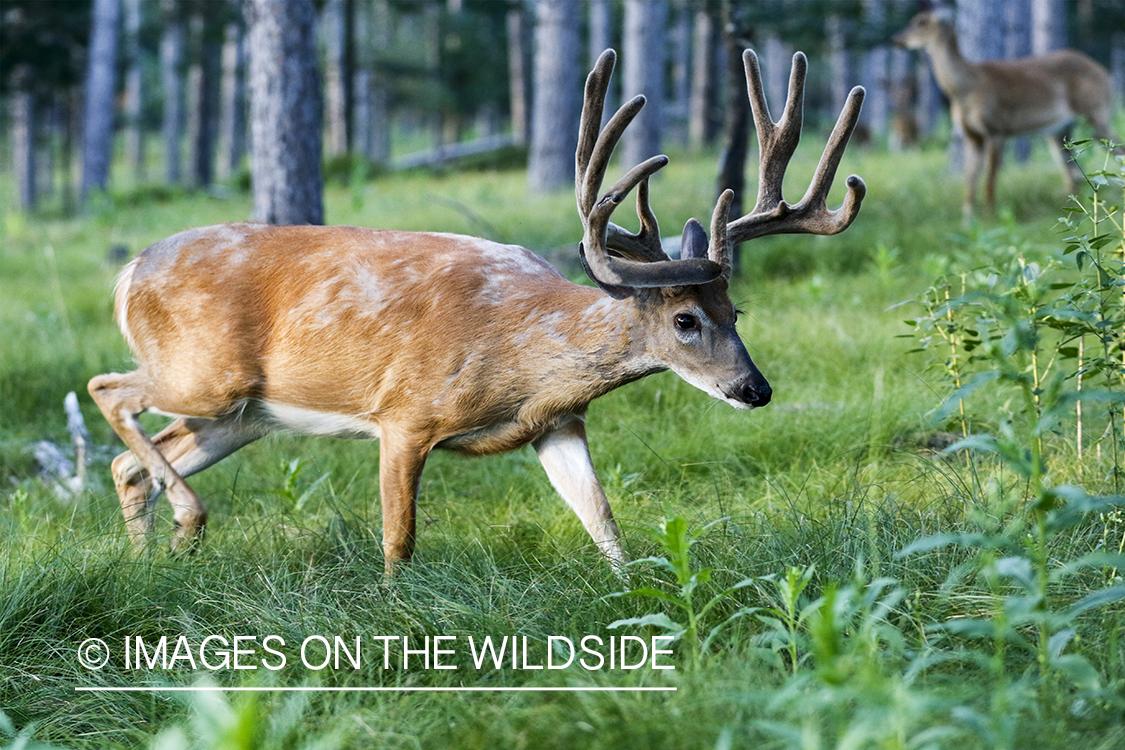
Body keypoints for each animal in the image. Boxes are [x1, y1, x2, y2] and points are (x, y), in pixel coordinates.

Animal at [92, 48, 868, 575]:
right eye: (685, 320)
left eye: (736, 311)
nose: (754, 389)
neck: (522, 356)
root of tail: (129, 273)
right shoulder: (404, 413)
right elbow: (398, 539)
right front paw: (393, 614)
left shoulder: (557, 423)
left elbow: (603, 521)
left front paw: (645, 598)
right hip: (203, 375)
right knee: (109, 390)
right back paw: (187, 521)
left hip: (245, 413)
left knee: (134, 463)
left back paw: (154, 561)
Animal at [895, 8, 1116, 217]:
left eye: (921, 22)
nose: (896, 39)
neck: (967, 89)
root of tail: (1104, 72)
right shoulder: (971, 136)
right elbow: (970, 179)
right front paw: (967, 217)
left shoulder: (997, 129)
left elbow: (989, 180)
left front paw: (989, 216)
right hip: (1059, 130)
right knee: (1072, 173)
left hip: (1096, 111)